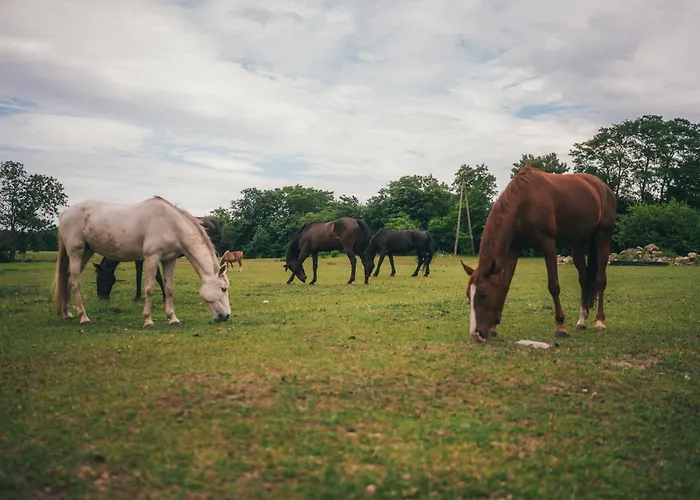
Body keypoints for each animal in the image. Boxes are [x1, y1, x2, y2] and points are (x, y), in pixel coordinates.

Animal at [53, 196, 231, 327]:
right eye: (223, 288)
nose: (226, 316)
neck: (169, 223)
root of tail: (65, 213)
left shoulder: (169, 260)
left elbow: (169, 289)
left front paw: (173, 318)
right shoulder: (152, 258)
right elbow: (149, 288)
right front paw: (148, 320)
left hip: (86, 252)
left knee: (68, 279)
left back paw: (68, 313)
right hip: (76, 253)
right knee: (75, 282)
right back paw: (83, 317)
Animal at [460, 165, 616, 342]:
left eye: (483, 294)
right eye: (468, 295)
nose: (476, 334)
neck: (524, 202)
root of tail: (603, 188)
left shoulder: (548, 244)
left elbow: (553, 286)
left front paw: (560, 327)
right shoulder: (514, 249)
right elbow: (505, 286)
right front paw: (494, 327)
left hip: (603, 236)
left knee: (600, 280)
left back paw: (600, 322)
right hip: (577, 242)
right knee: (583, 279)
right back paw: (582, 320)